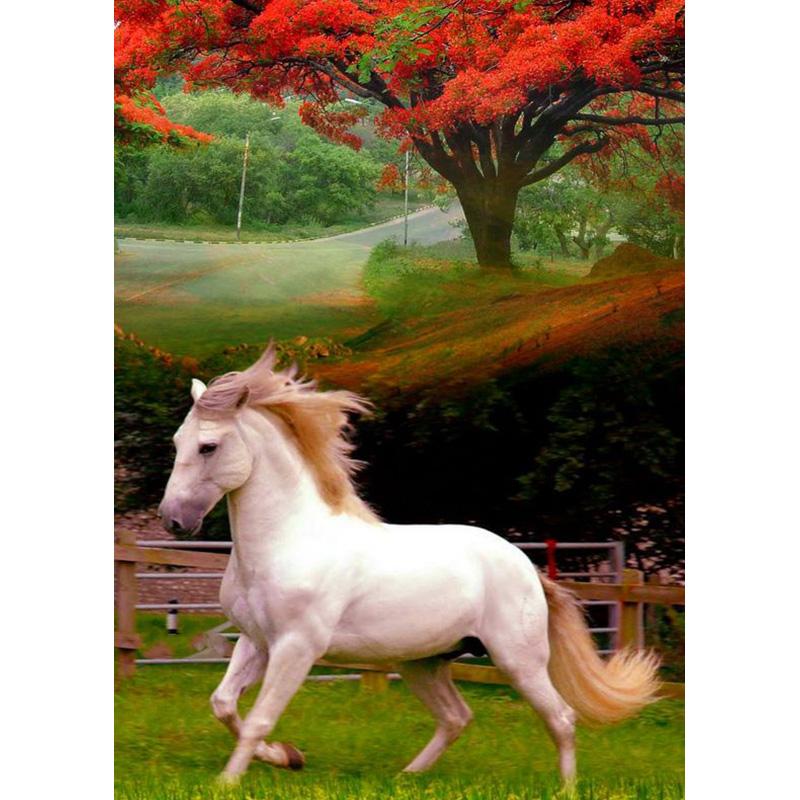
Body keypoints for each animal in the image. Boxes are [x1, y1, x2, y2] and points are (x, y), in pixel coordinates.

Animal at [158, 346, 660, 785]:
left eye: (208, 446)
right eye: (177, 441)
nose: (173, 519)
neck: (289, 539)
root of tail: (526, 567)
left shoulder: (296, 647)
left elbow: (260, 717)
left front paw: (230, 780)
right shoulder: (256, 641)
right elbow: (224, 704)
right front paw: (289, 757)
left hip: (519, 660)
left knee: (561, 717)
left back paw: (565, 787)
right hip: (423, 662)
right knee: (457, 717)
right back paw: (407, 776)